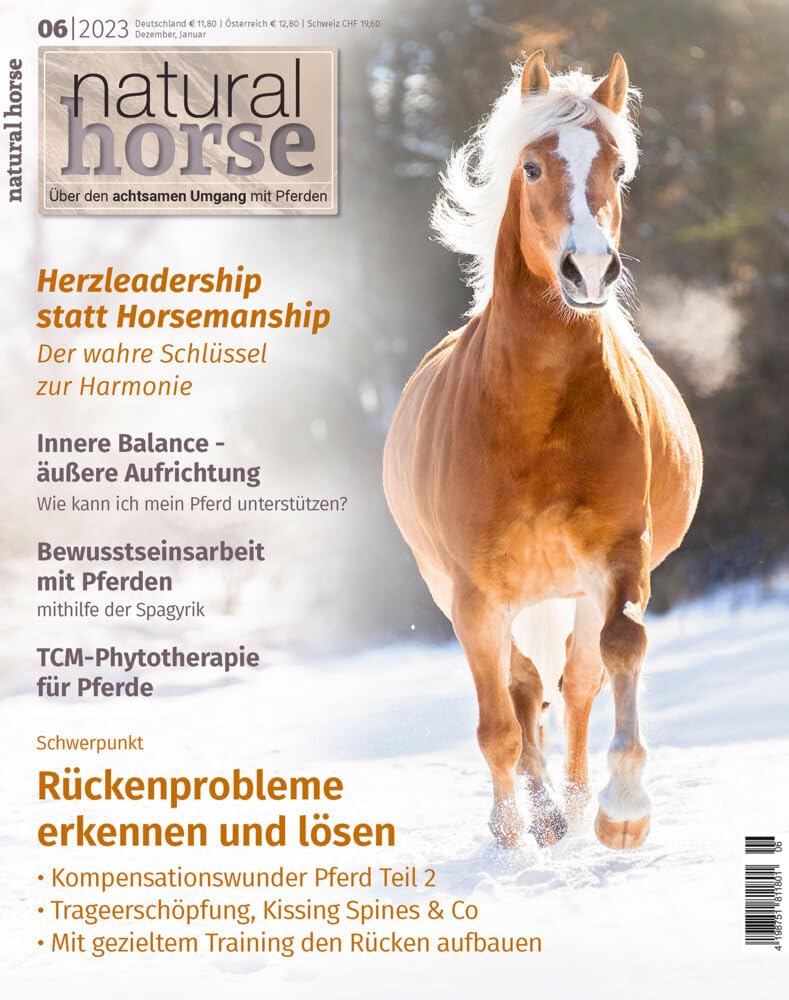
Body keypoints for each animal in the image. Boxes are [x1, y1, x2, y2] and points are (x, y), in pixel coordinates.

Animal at [383, 52, 702, 850]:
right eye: (530, 167)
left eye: (618, 169)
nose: (587, 270)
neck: (537, 416)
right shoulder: (472, 596)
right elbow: (500, 723)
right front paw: (508, 830)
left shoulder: (618, 556)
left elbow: (620, 651)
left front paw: (623, 811)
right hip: (479, 597)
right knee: (522, 692)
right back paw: (542, 816)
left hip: (568, 592)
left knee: (576, 682)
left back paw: (578, 804)